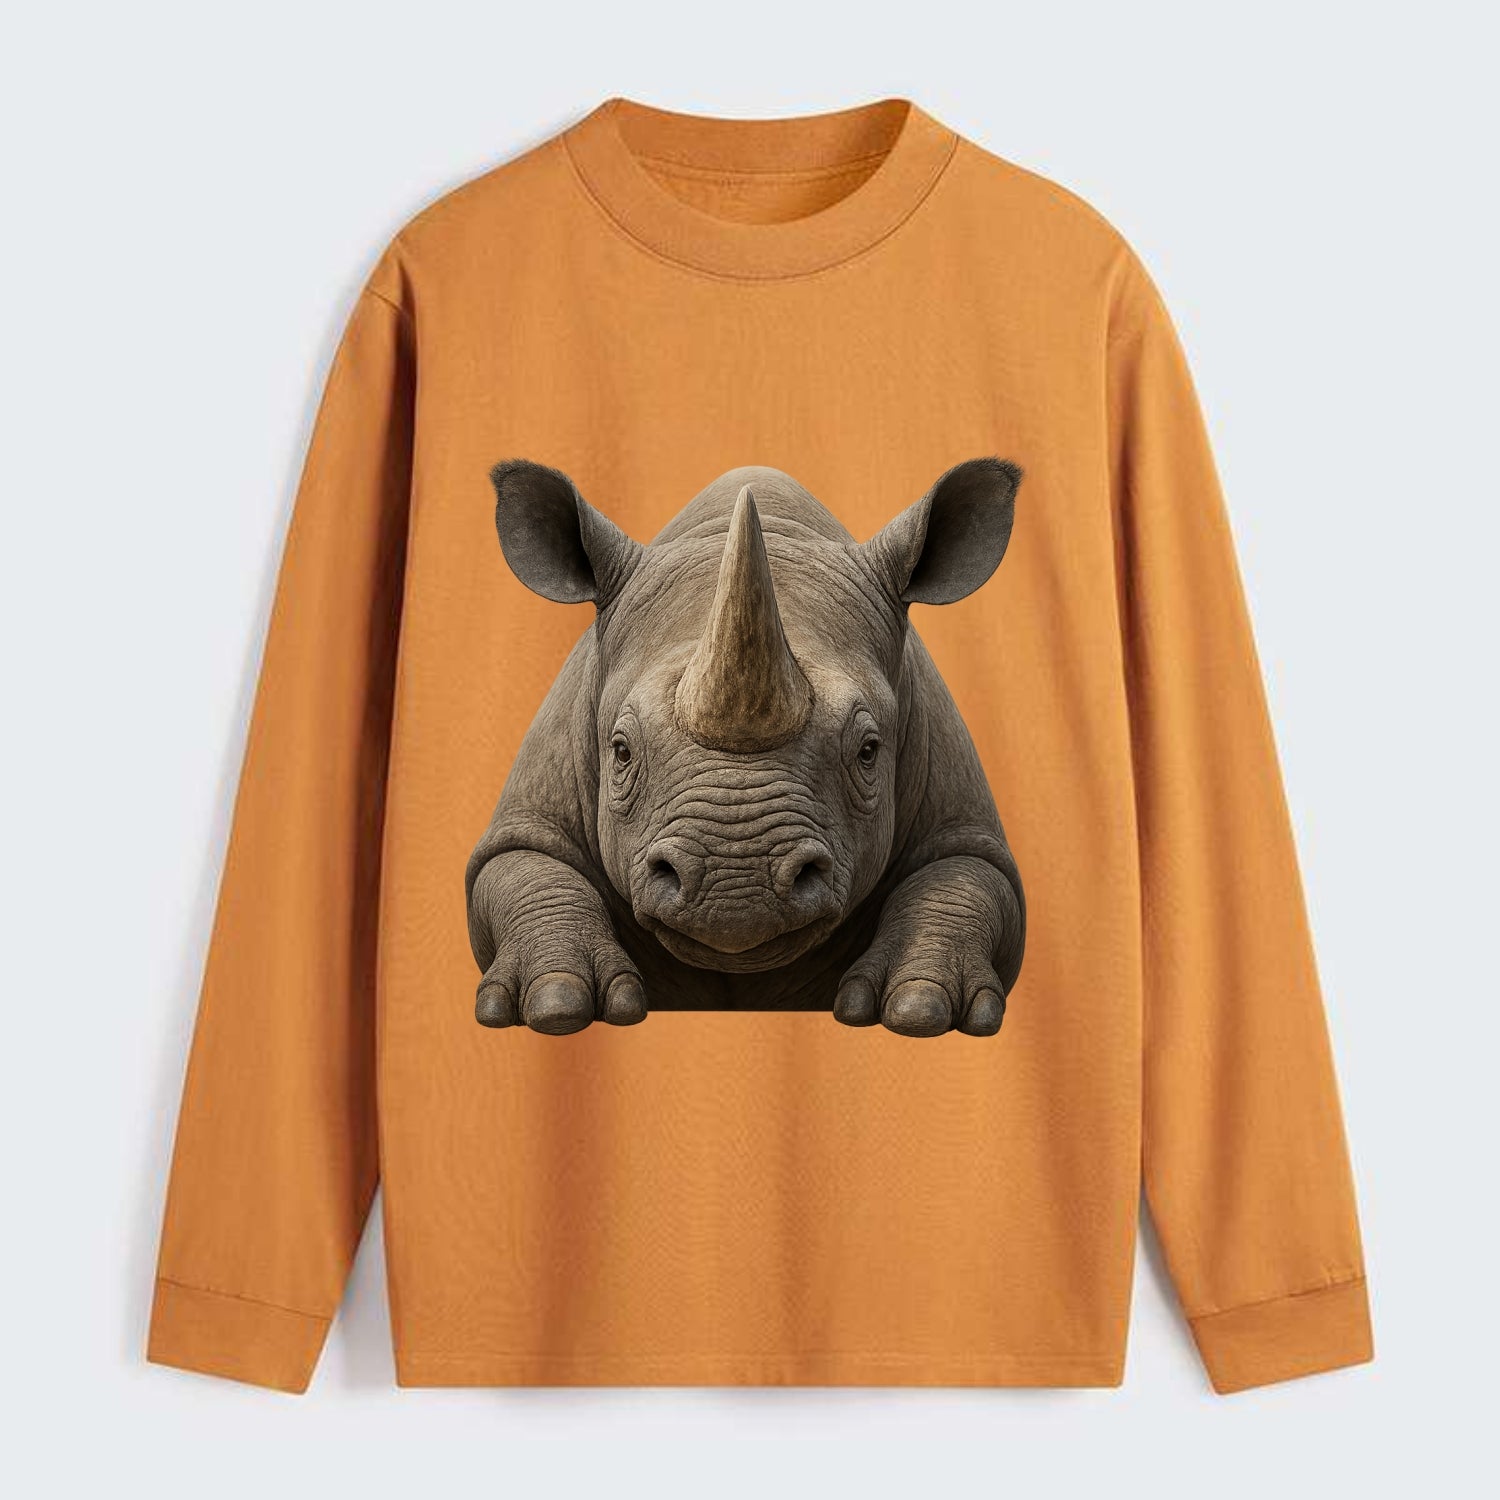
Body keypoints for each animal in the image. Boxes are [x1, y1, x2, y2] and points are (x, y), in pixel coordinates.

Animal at [465, 458, 1026, 1038]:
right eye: (620, 751)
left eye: (869, 751)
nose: (736, 887)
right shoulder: (531, 813)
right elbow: (524, 866)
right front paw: (557, 1004)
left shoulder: (959, 816)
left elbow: (963, 876)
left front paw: (920, 1008)